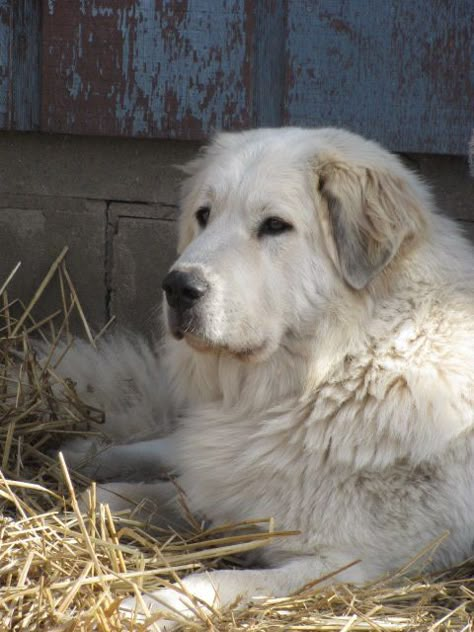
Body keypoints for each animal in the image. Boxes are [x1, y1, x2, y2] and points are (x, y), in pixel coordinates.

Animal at [60, 127, 474, 628]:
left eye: (275, 226)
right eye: (204, 215)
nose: (177, 286)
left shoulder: (342, 565)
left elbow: (214, 579)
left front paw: (145, 605)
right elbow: (109, 498)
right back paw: (82, 454)